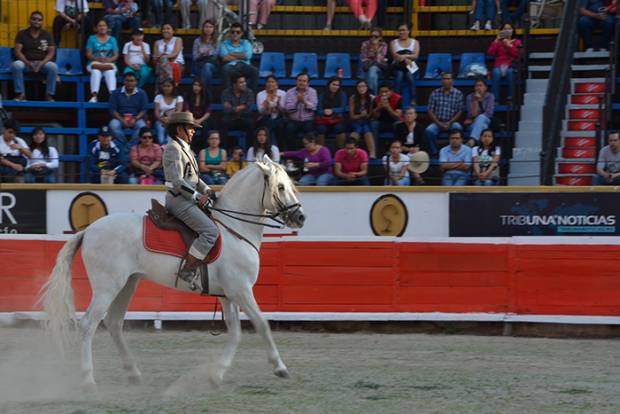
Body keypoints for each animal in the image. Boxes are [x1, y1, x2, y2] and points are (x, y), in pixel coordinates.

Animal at [40, 157, 306, 390]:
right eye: (280, 187)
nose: (300, 217)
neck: (235, 229)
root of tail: (89, 230)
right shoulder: (241, 290)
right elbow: (262, 324)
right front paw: (280, 367)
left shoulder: (227, 295)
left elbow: (236, 333)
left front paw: (217, 375)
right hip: (107, 288)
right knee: (88, 324)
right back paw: (87, 380)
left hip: (127, 284)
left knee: (114, 323)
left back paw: (133, 373)